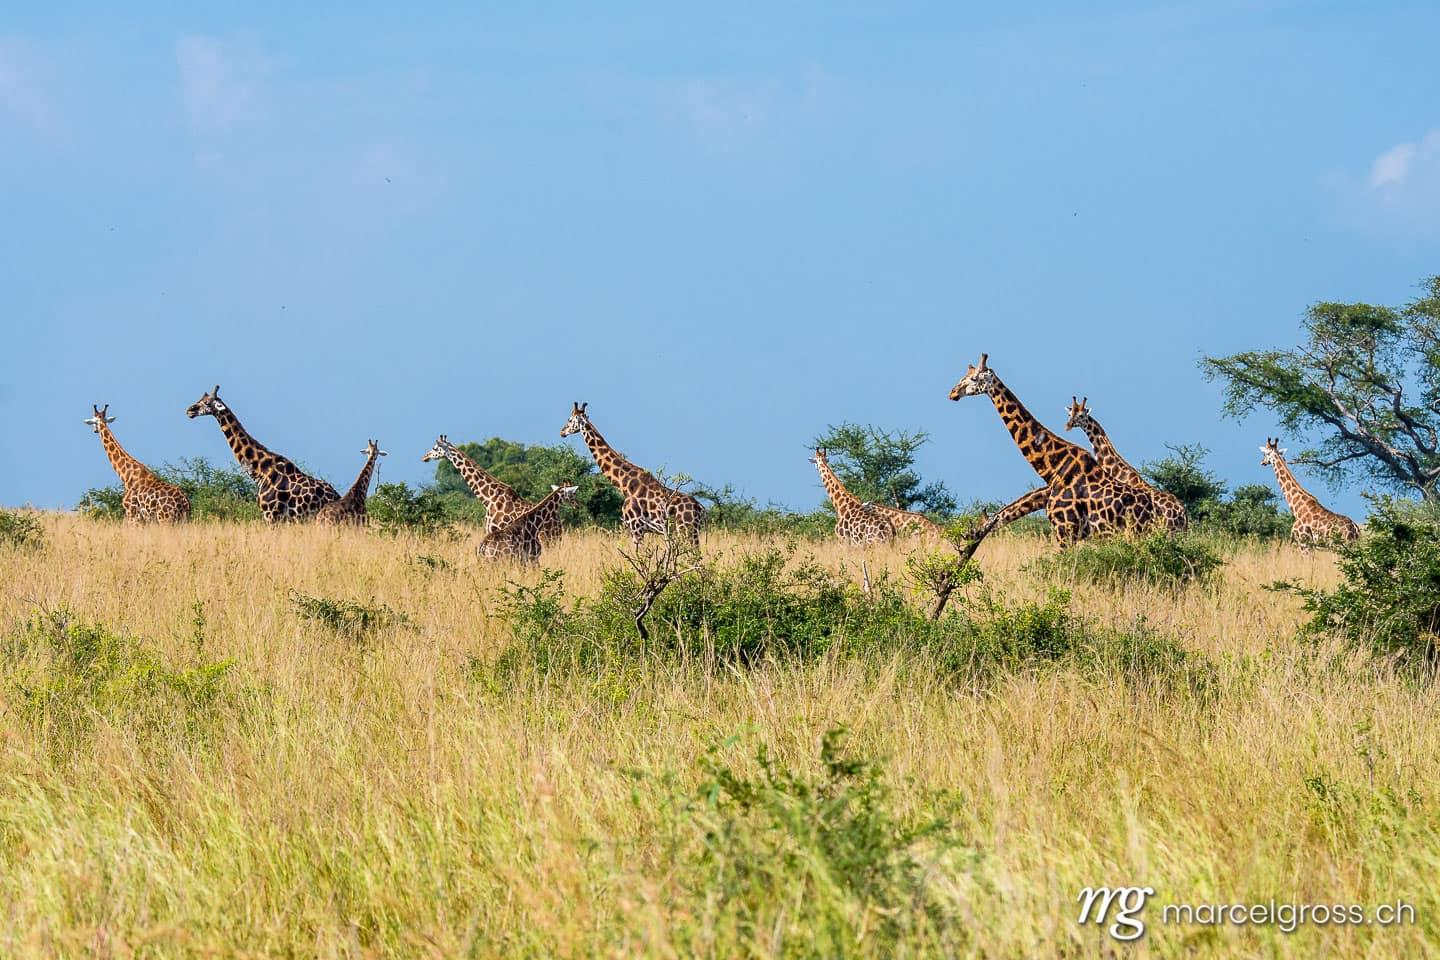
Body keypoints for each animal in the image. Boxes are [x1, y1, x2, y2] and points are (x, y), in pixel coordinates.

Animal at [185, 386, 339, 522]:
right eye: (200, 399)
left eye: (206, 402)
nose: (189, 410)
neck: (260, 471)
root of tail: (336, 496)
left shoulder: (270, 514)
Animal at [560, 402, 704, 549]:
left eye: (569, 420)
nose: (562, 432)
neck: (624, 484)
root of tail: (700, 509)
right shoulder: (639, 529)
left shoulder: (636, 528)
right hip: (692, 531)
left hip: (685, 529)